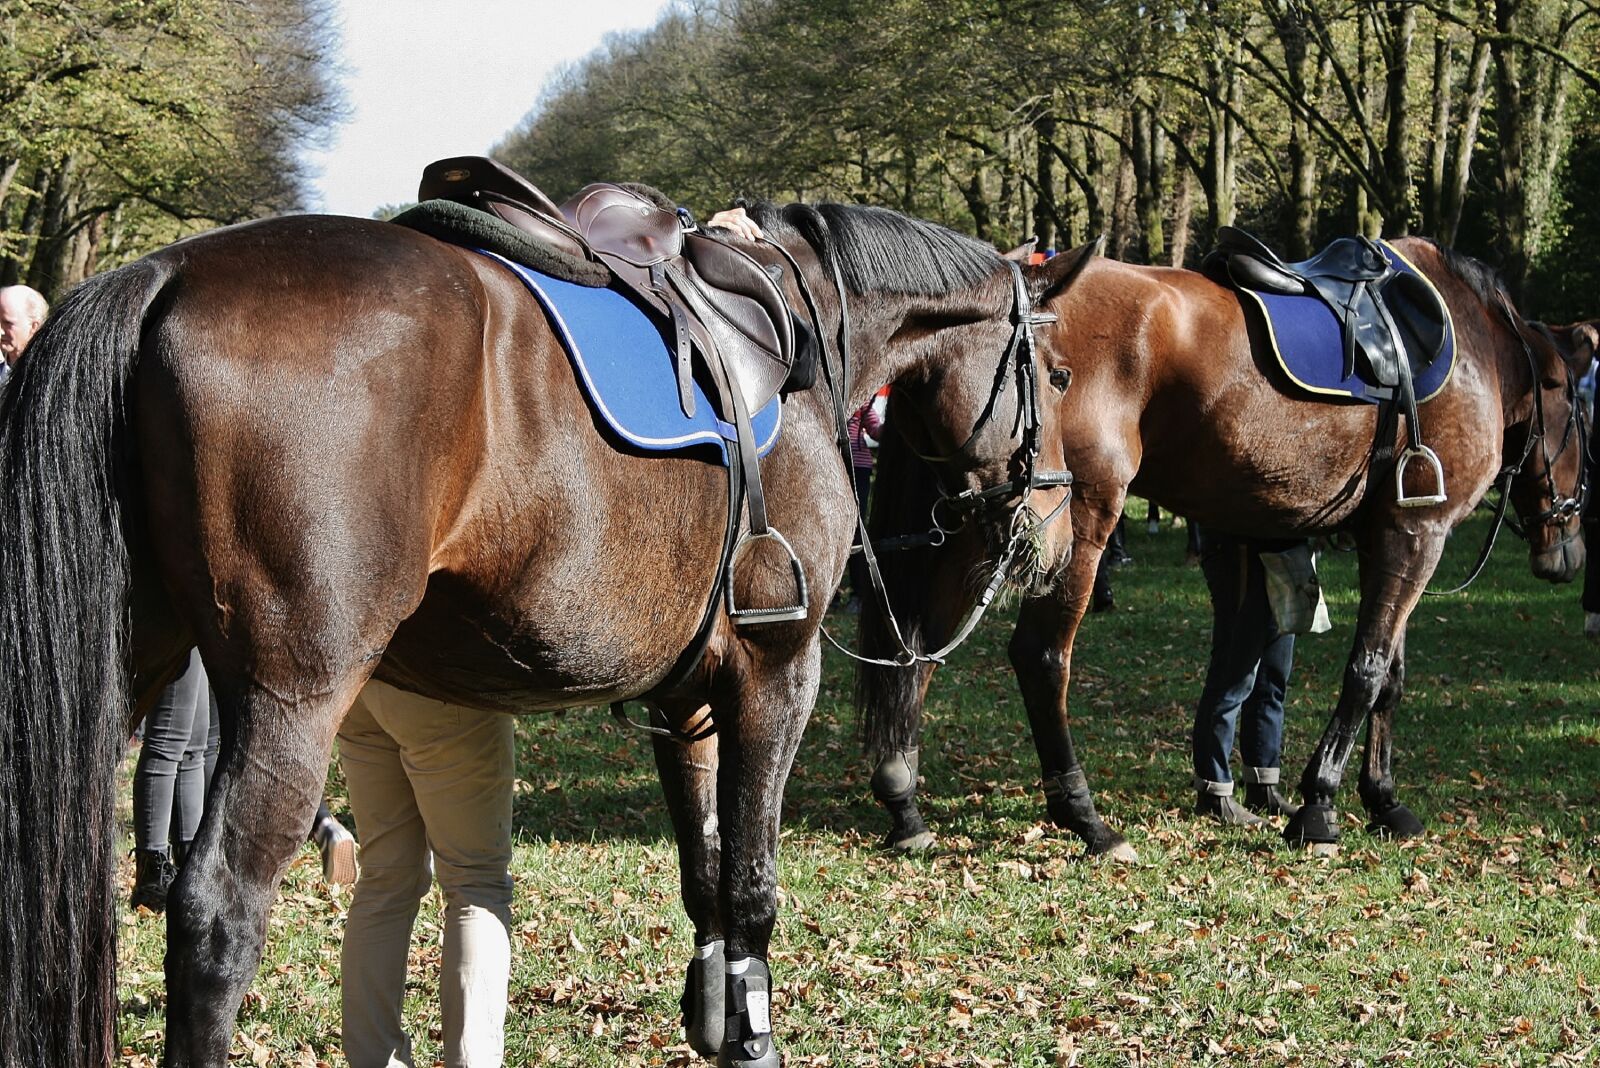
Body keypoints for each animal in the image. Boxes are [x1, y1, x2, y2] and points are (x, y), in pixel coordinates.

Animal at [0, 202, 1095, 1068]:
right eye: (1059, 372)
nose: (1054, 526)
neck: (798, 338)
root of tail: (167, 272)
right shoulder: (776, 675)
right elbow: (750, 887)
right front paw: (753, 1039)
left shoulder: (687, 700)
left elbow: (704, 874)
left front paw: (716, 1019)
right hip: (292, 699)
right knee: (217, 911)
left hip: (133, 668)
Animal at [857, 238, 1586, 861]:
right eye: (1584, 416)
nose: (1568, 553)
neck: (1475, 349)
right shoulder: (1418, 533)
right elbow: (1368, 672)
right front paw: (1319, 807)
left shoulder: (1390, 537)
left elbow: (1391, 678)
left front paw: (1383, 800)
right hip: (1071, 521)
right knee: (1039, 658)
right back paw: (1085, 817)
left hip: (981, 515)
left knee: (919, 646)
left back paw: (904, 804)